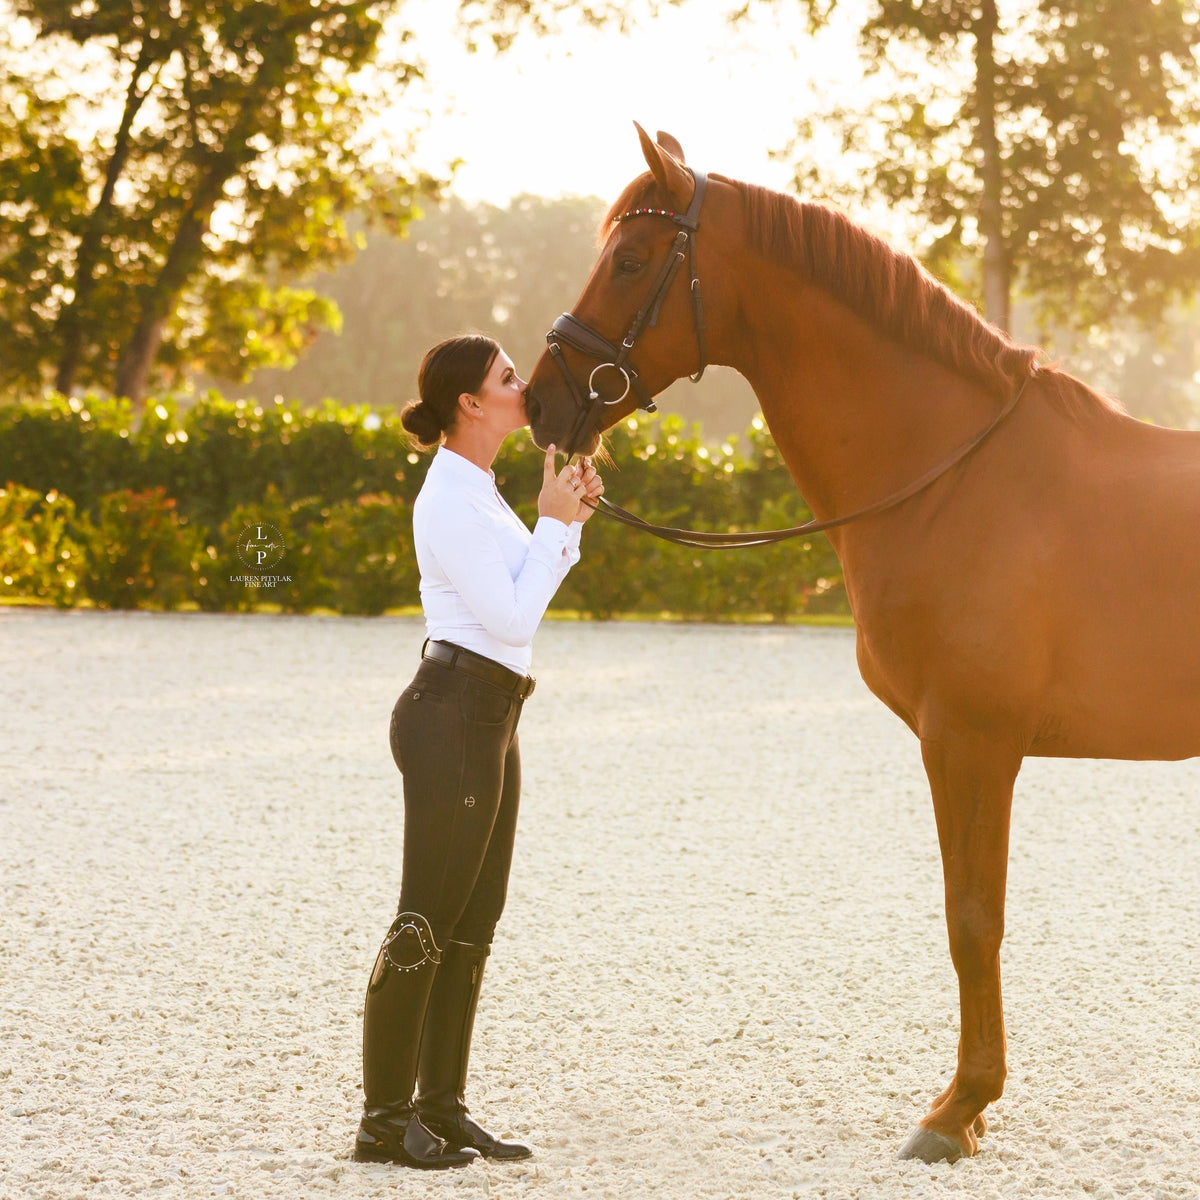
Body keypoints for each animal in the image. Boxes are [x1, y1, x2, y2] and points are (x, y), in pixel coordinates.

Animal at [528, 129, 1200, 1161]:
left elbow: (973, 920)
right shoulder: (966, 746)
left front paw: (957, 1110)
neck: (953, 477)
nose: (537, 401)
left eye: (632, 261)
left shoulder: (970, 742)